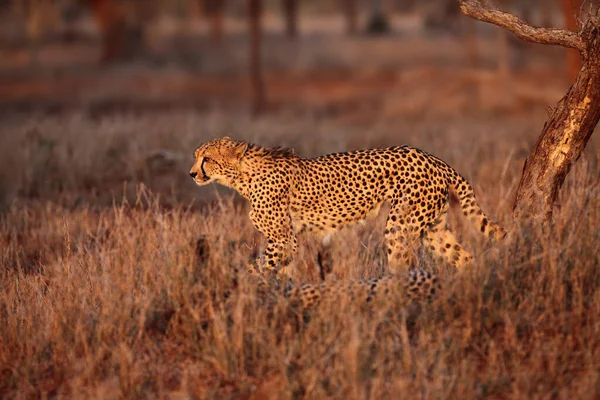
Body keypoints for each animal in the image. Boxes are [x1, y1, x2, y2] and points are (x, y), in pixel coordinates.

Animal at [190, 138, 504, 278]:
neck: (243, 176)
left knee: (400, 264)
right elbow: (280, 273)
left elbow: (255, 268)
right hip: (433, 229)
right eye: (196, 156)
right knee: (465, 258)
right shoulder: (286, 242)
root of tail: (431, 157)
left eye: (207, 158)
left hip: (400, 226)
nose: (192, 174)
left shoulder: (283, 239)